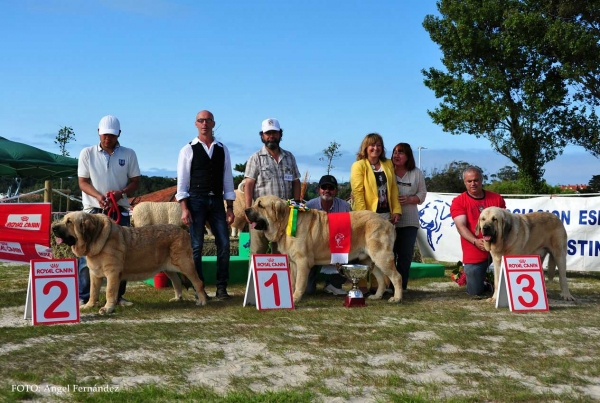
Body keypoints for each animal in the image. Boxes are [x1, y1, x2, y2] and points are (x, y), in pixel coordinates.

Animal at [50, 211, 209, 316]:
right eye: (63, 219)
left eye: (69, 222)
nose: (53, 228)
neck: (95, 238)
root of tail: (184, 231)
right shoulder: (94, 274)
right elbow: (93, 291)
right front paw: (89, 305)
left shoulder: (112, 273)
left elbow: (109, 291)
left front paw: (107, 308)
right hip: (167, 268)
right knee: (176, 281)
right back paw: (177, 298)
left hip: (185, 264)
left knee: (198, 282)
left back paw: (202, 300)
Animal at [244, 195, 404, 304]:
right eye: (255, 203)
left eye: (260, 205)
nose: (246, 210)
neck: (285, 221)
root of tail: (388, 222)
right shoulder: (293, 263)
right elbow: (293, 280)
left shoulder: (302, 261)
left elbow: (300, 283)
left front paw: (295, 298)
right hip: (369, 259)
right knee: (381, 278)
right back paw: (377, 296)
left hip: (381, 255)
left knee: (396, 276)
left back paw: (396, 298)